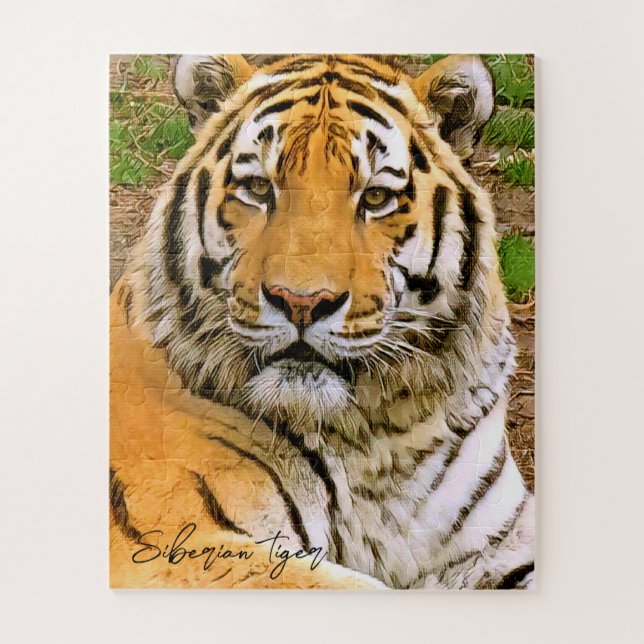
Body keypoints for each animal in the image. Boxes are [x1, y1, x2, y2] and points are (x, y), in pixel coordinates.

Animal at [110, 54, 535, 590]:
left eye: (375, 198)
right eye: (258, 189)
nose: (302, 302)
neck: (378, 440)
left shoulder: (501, 545)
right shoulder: (178, 542)